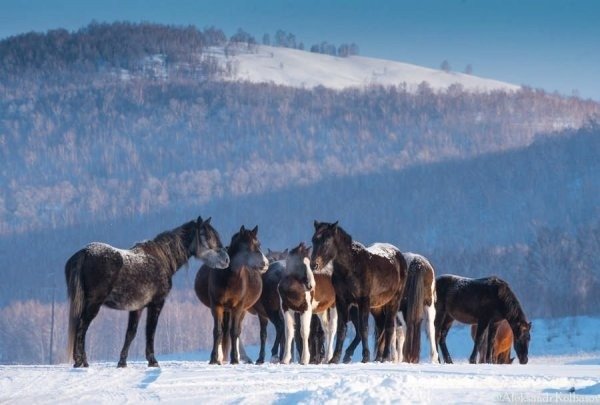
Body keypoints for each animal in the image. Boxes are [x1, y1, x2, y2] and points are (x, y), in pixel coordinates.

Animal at [65, 216, 230, 368]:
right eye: (207, 236)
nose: (226, 260)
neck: (162, 259)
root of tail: (84, 252)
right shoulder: (156, 304)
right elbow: (150, 331)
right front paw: (152, 361)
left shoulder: (136, 308)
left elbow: (131, 333)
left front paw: (122, 362)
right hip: (93, 303)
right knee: (82, 327)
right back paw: (81, 361)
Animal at [193, 224, 268, 362]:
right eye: (247, 247)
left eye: (259, 244)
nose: (265, 263)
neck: (229, 279)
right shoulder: (216, 306)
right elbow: (217, 331)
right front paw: (214, 359)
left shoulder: (238, 307)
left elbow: (234, 332)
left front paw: (234, 359)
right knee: (224, 330)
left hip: (246, 310)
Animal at [310, 221, 408, 362]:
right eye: (314, 240)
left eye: (327, 241)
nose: (314, 265)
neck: (350, 268)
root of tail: (400, 256)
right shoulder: (342, 301)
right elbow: (341, 328)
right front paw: (335, 358)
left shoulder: (363, 301)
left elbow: (364, 328)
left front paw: (365, 357)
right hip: (377, 307)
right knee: (381, 326)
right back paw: (377, 357)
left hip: (393, 301)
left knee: (389, 327)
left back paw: (385, 357)